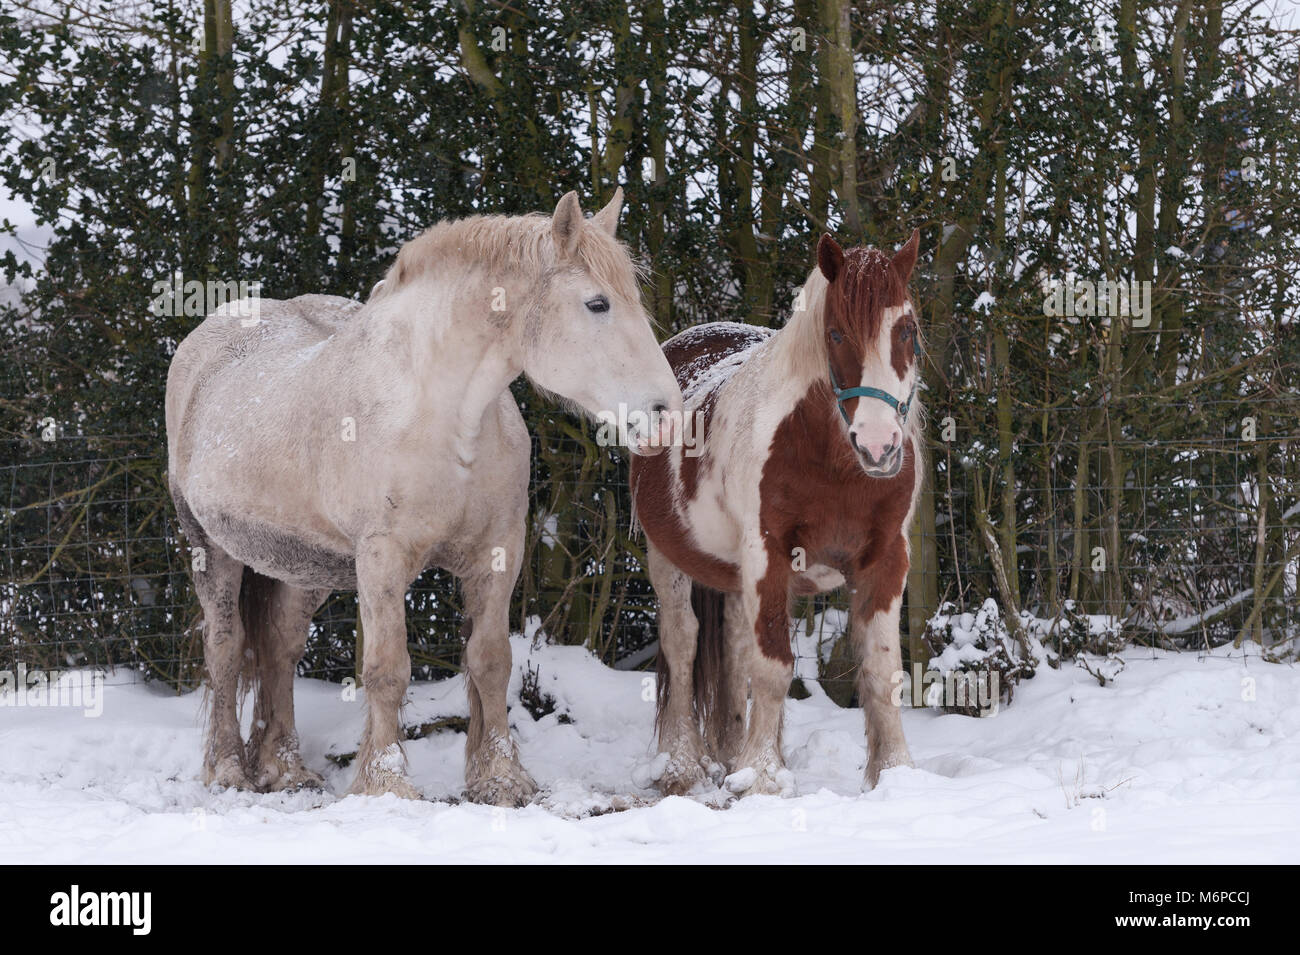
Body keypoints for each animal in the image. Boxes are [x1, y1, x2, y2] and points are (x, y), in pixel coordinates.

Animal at [165, 191, 681, 805]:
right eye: (597, 303)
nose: (666, 414)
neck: (444, 419)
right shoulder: (382, 559)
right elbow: (388, 670)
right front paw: (386, 783)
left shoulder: (496, 553)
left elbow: (491, 662)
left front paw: (501, 778)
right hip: (210, 548)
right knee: (224, 648)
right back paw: (227, 770)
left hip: (302, 566)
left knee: (279, 649)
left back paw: (285, 770)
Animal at [631, 231, 925, 800]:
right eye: (835, 333)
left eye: (907, 330)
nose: (879, 446)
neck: (835, 465)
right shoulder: (768, 554)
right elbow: (772, 669)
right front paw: (763, 779)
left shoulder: (887, 559)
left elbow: (882, 670)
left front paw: (897, 775)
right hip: (668, 557)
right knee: (681, 645)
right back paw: (682, 766)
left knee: (732, 650)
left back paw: (728, 754)